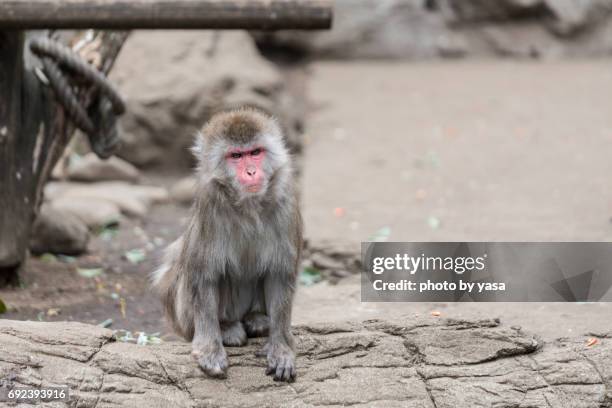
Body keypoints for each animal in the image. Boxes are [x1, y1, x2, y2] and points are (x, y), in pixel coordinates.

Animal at [153, 109, 302, 382]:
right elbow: (204, 276)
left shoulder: (286, 203)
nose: (251, 171)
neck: (248, 205)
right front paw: (210, 350)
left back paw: (257, 320)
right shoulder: (210, 205)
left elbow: (280, 276)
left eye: (255, 152)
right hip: (185, 321)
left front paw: (281, 348)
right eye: (236, 156)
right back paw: (226, 328)